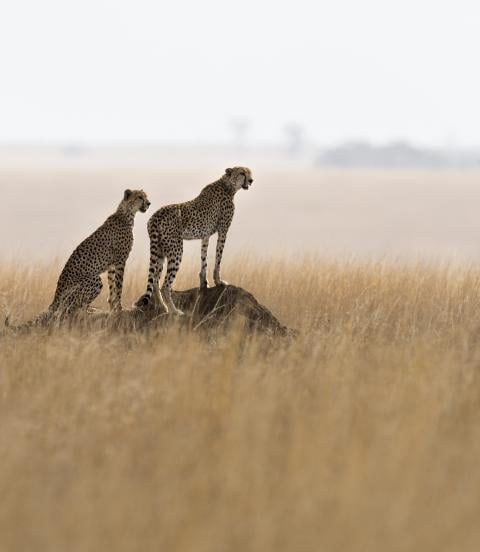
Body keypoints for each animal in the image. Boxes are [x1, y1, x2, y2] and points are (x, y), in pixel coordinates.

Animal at [6, 190, 149, 328]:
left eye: (146, 197)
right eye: (140, 197)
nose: (149, 203)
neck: (126, 214)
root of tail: (55, 298)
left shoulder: (112, 265)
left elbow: (112, 287)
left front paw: (113, 307)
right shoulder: (120, 261)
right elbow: (118, 287)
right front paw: (119, 308)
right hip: (93, 280)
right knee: (66, 312)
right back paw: (85, 312)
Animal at [135, 166, 253, 314]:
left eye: (250, 172)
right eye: (242, 173)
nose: (251, 180)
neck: (228, 186)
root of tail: (155, 215)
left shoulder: (205, 235)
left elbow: (204, 258)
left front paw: (204, 282)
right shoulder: (223, 230)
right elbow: (218, 257)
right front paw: (218, 281)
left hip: (160, 251)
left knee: (155, 280)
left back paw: (163, 307)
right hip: (176, 250)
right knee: (165, 285)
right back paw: (175, 311)